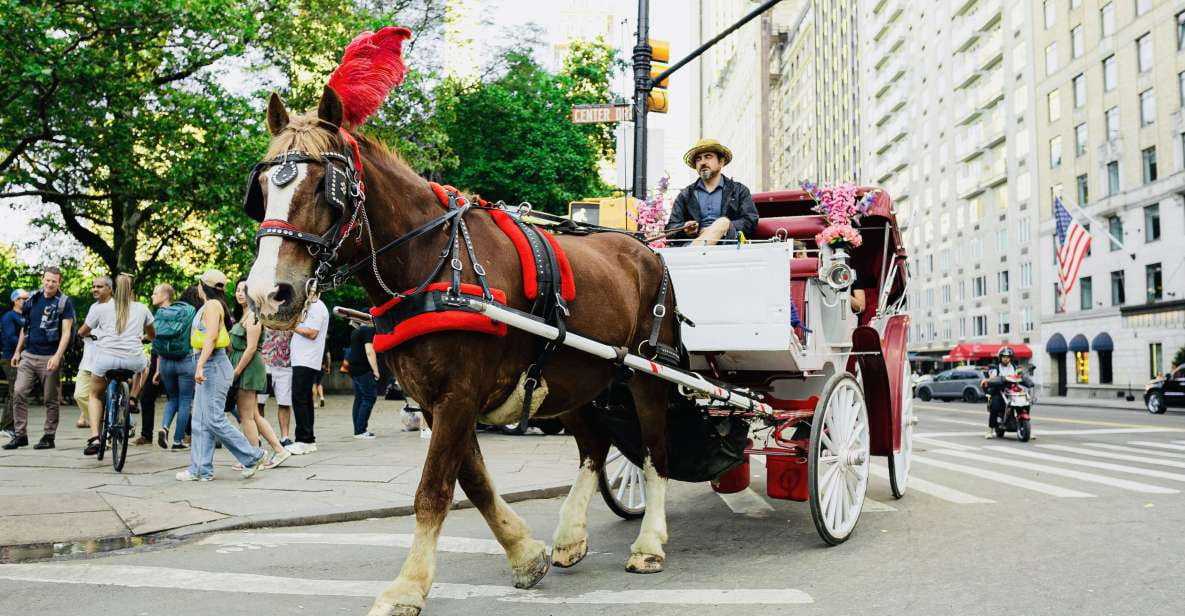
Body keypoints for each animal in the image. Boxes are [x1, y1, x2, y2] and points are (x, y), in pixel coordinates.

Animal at [243, 86, 679, 616]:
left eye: (329, 187)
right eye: (263, 190)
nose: (268, 293)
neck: (433, 262)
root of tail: (648, 249)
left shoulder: (459, 395)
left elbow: (434, 489)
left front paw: (408, 586)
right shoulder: (437, 401)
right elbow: (473, 482)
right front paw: (525, 554)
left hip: (649, 373)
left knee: (655, 452)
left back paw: (649, 544)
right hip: (568, 380)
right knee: (595, 447)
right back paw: (571, 534)